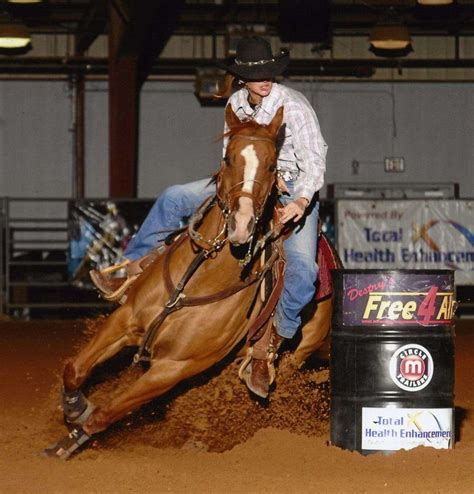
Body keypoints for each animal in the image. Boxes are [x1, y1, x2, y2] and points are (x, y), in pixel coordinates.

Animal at [43, 106, 334, 462]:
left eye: (270, 166)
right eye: (228, 159)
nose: (241, 225)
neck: (198, 281)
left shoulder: (172, 368)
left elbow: (106, 413)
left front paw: (69, 440)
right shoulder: (125, 320)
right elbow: (75, 369)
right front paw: (74, 408)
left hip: (297, 351)